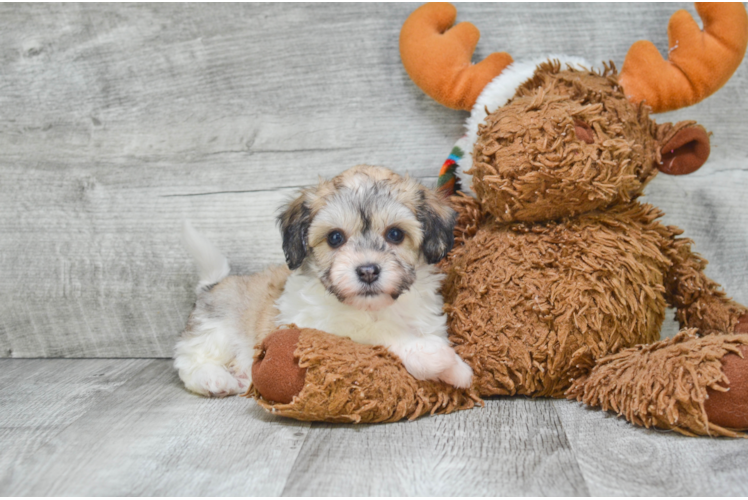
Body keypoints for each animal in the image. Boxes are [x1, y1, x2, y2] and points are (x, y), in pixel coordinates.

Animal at [174, 166, 474, 396]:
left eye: (396, 234)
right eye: (335, 238)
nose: (368, 271)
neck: (376, 308)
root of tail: (213, 284)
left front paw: (455, 370)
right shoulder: (318, 325)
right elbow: (378, 330)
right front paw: (435, 356)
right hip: (219, 330)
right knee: (189, 360)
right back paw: (214, 379)